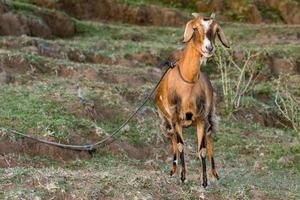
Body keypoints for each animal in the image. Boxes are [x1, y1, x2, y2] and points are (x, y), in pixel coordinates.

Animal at [155, 12, 230, 188]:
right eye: (195, 28)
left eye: (216, 30)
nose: (209, 48)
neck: (187, 82)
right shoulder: (175, 119)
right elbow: (181, 145)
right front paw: (183, 177)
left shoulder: (202, 118)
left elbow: (201, 149)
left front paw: (205, 181)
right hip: (166, 121)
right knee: (173, 140)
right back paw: (173, 170)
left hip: (209, 117)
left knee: (209, 139)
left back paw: (215, 174)